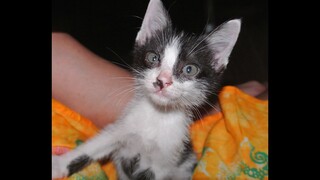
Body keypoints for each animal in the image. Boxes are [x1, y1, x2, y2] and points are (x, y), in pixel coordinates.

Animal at [52, 0, 240, 179]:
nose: (162, 81)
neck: (156, 117)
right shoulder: (122, 129)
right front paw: (59, 165)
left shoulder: (166, 161)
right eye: (153, 57)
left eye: (189, 69)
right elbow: (94, 146)